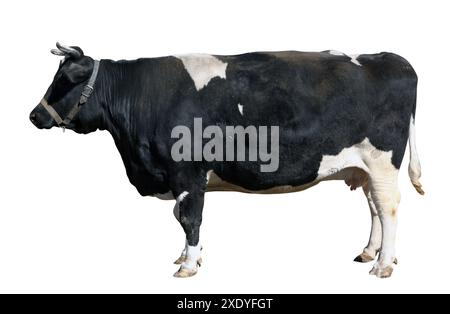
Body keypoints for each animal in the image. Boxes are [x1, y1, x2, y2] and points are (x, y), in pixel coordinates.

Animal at [29, 43, 424, 278]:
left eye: (66, 79)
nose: (35, 115)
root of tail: (388, 58)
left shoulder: (186, 173)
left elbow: (189, 218)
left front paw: (188, 266)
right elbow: (183, 218)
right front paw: (188, 256)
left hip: (381, 161)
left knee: (388, 207)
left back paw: (383, 264)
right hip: (364, 168)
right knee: (374, 207)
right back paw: (370, 253)